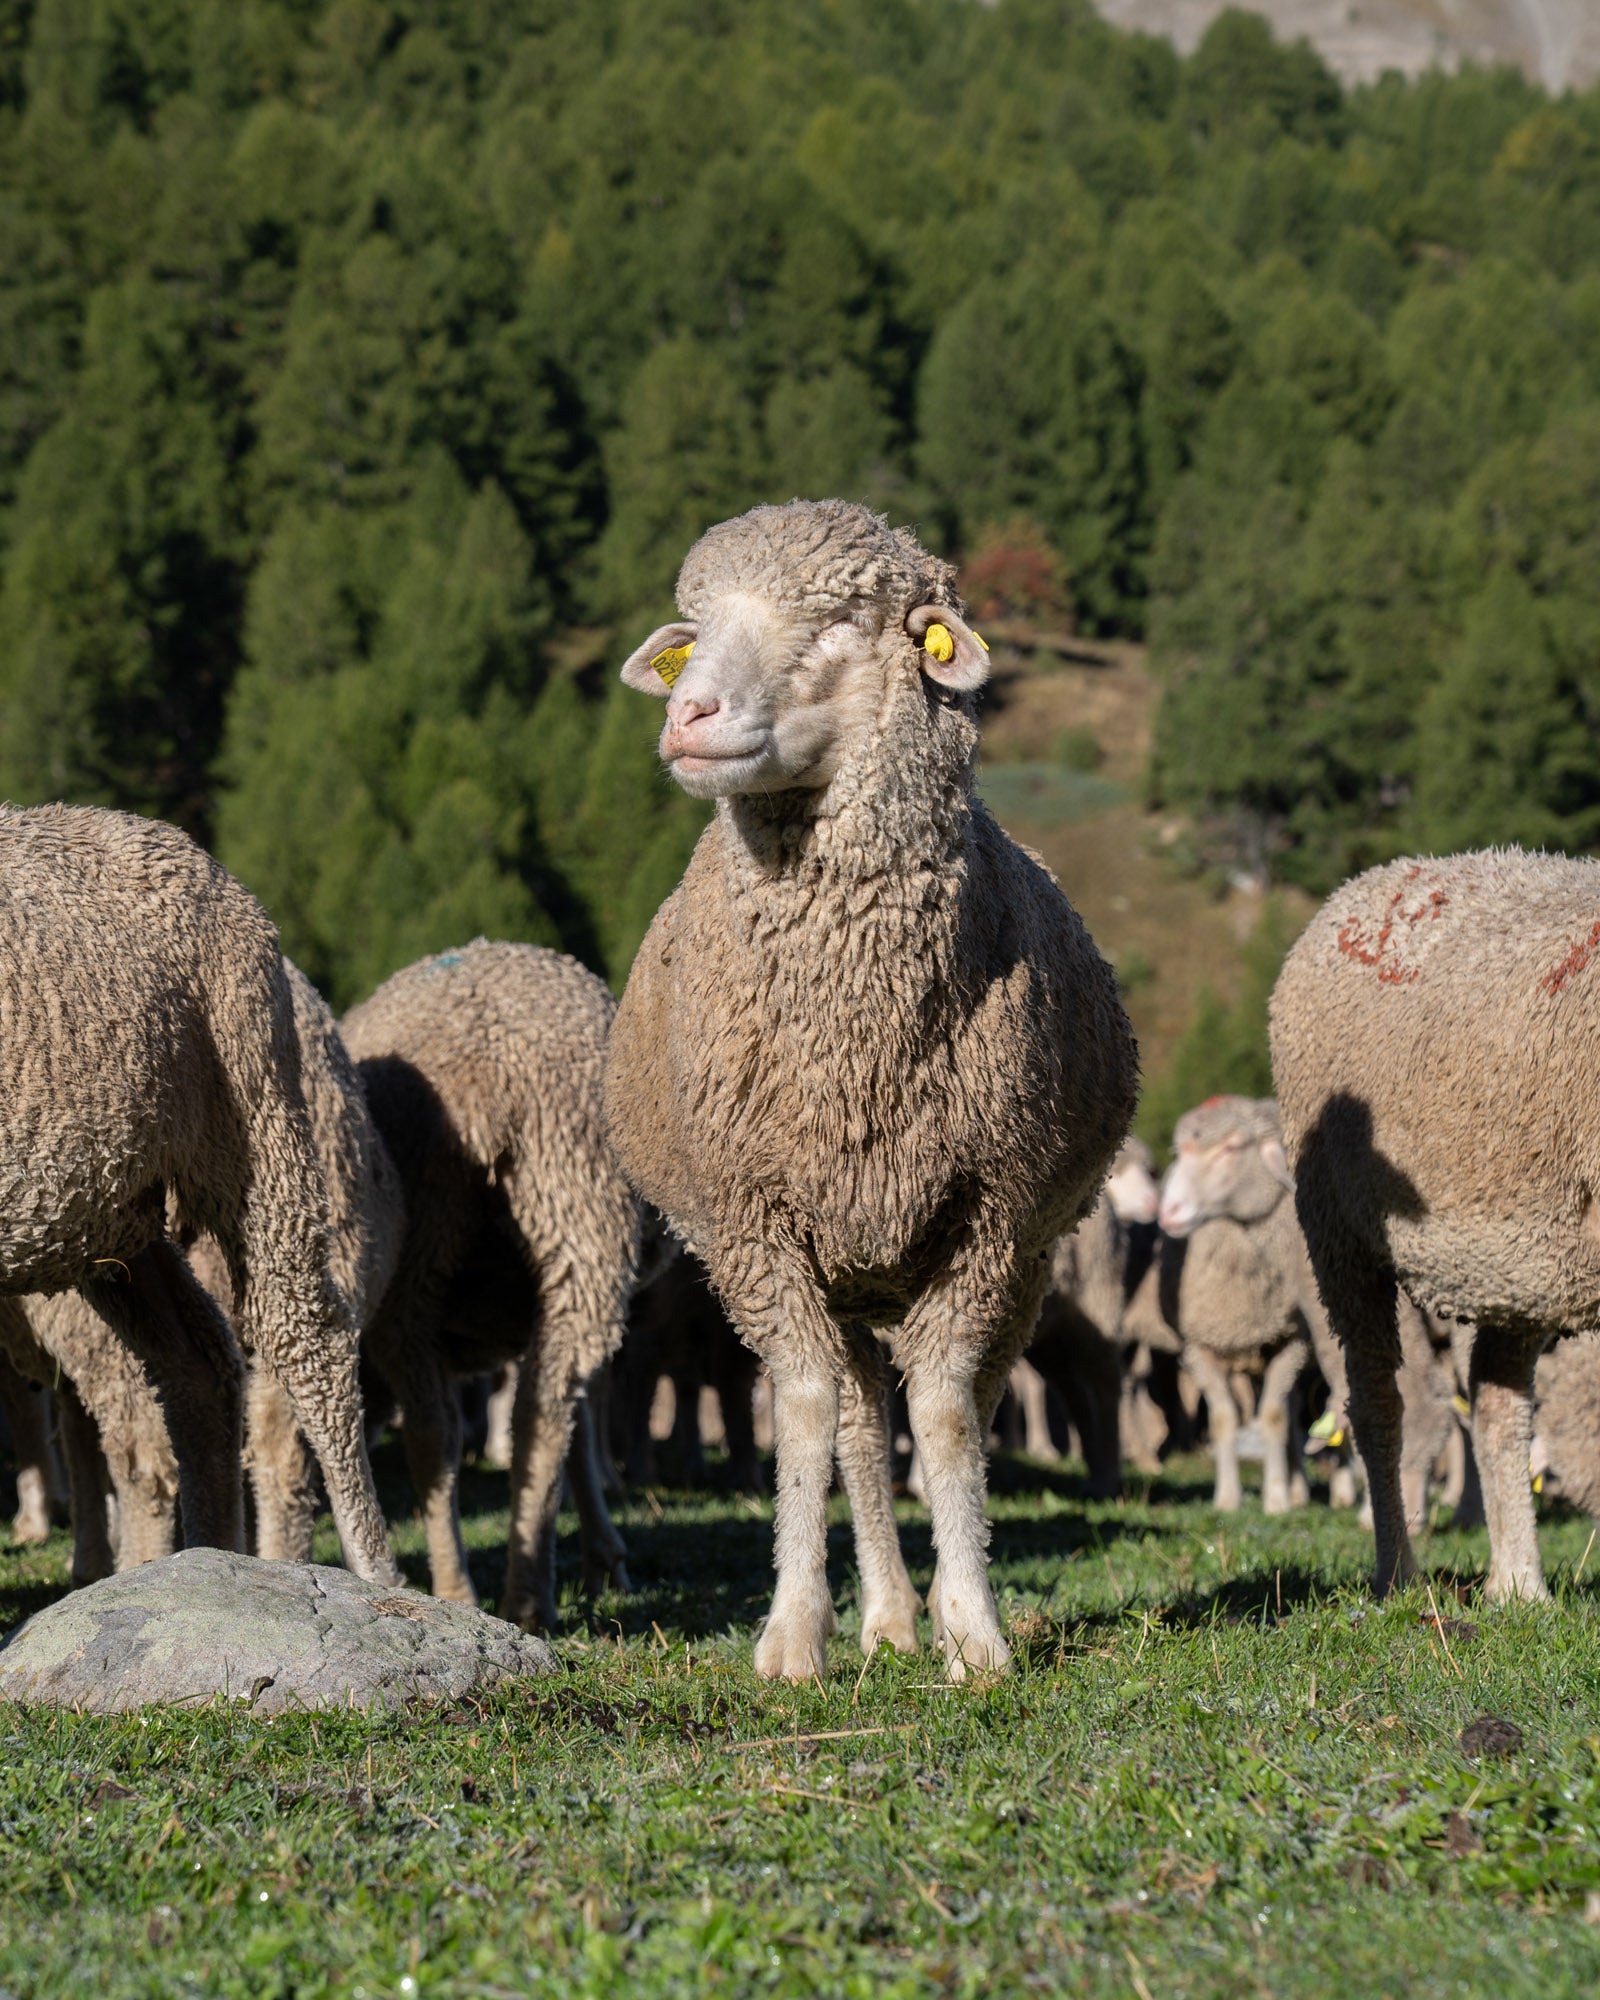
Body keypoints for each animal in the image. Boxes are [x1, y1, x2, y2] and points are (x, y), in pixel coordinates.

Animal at [0, 804, 396, 1584]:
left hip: (252, 1117)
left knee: (307, 1340)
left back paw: (375, 1573)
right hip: (109, 1211)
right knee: (199, 1364)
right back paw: (210, 1562)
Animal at [340, 936, 640, 1624]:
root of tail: (486, 1072)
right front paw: (604, 1555)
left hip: (458, 1242)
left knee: (458, 1429)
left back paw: (490, 1593)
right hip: (571, 1220)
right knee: (527, 1420)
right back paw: (514, 1592)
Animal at [600, 496, 1136, 1672]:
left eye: (842, 619)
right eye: (693, 627)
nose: (688, 712)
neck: (852, 1028)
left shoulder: (989, 1216)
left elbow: (944, 1415)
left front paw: (974, 1631)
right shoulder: (752, 1224)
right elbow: (803, 1412)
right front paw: (792, 1638)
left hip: (1019, 1260)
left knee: (962, 1399)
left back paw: (920, 1608)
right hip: (836, 1261)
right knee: (853, 1421)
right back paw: (884, 1617)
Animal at [1272, 852, 1600, 1600]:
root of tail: (1365, 884)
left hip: (1520, 1263)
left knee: (1497, 1406)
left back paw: (1518, 1586)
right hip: (1340, 1235)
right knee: (1379, 1407)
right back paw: (1397, 1571)